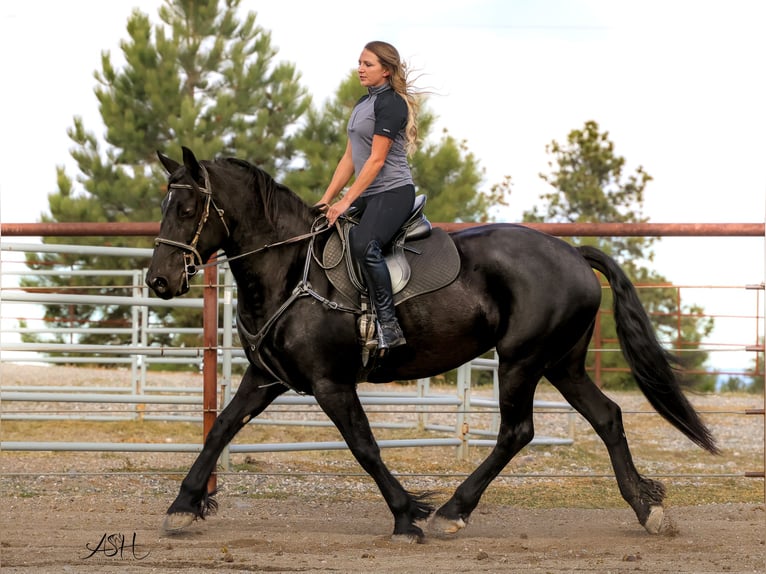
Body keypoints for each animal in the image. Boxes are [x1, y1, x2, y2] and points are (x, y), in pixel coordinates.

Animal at [145, 146, 717, 543]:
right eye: (164, 204)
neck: (291, 270)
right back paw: (647, 509)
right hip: (563, 364)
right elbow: (220, 428)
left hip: (522, 361)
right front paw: (182, 506)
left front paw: (407, 516)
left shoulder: (332, 384)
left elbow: (365, 447)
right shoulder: (266, 378)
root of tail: (573, 253)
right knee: (607, 417)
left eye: (189, 207)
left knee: (517, 432)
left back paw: (452, 513)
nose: (158, 280)